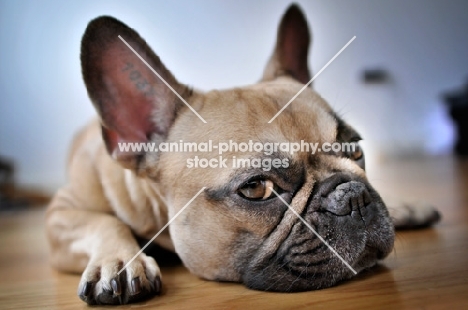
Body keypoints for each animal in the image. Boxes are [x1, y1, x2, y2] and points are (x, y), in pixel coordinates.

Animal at [45, 3, 440, 306]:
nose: (353, 194)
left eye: (355, 149)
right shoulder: (59, 213)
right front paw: (120, 261)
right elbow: (102, 221)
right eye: (256, 188)